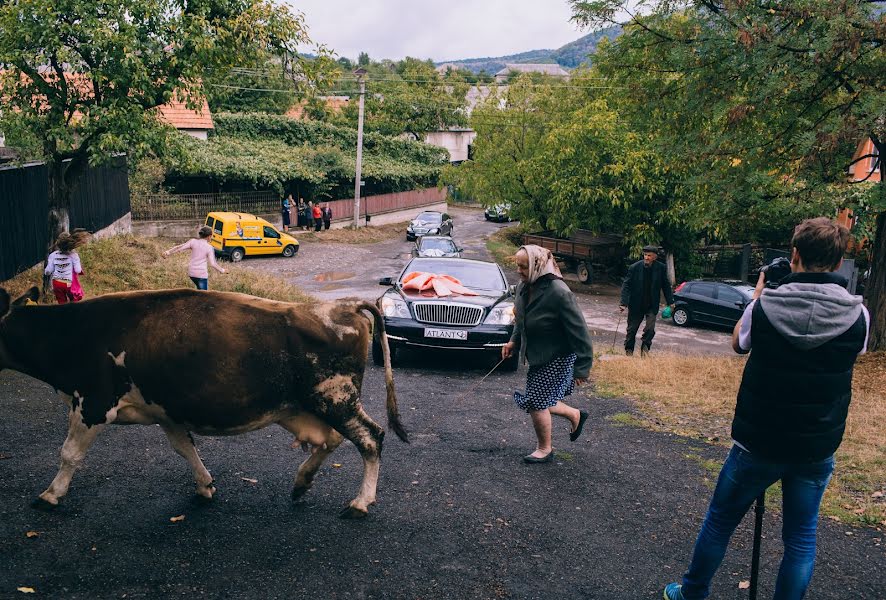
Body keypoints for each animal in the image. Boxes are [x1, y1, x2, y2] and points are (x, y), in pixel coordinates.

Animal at [0, 286, 410, 516]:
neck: (71, 332)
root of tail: (344, 306)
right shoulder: (166, 410)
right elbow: (185, 449)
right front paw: (205, 486)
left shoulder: (93, 402)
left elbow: (69, 453)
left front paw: (51, 495)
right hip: (311, 405)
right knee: (331, 440)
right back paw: (301, 482)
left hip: (335, 398)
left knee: (370, 438)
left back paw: (360, 503)